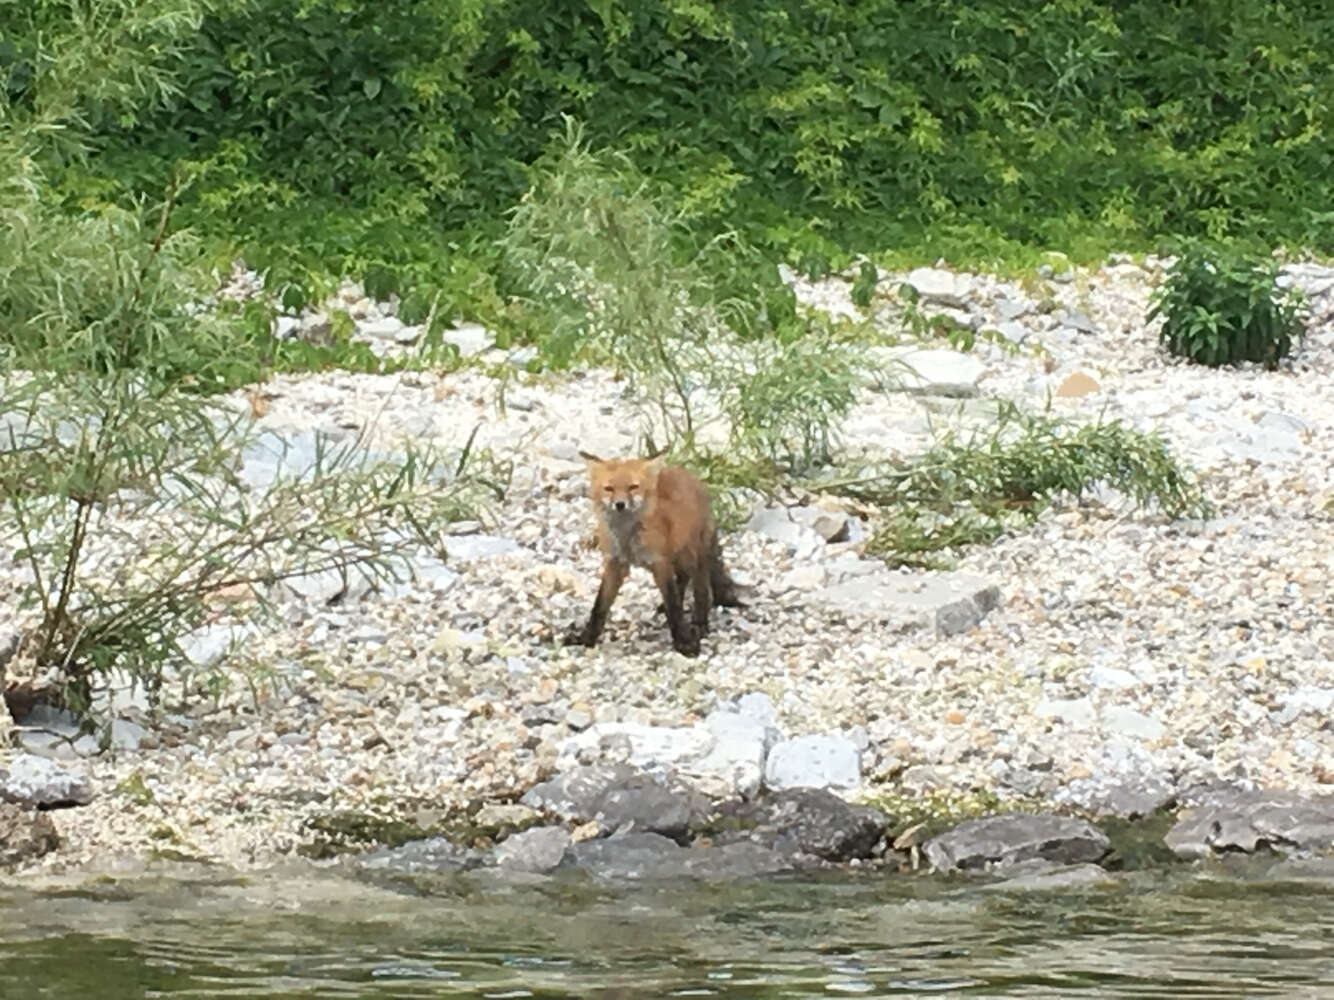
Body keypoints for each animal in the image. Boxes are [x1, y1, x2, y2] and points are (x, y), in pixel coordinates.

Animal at [560, 453, 741, 658]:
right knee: (683, 578)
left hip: (692, 556)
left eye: (633, 487)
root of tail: (692, 477)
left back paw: (699, 624)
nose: (620, 504)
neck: (628, 541)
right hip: (678, 556)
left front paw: (684, 642)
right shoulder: (615, 564)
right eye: (609, 489)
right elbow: (599, 607)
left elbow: (674, 606)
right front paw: (585, 638)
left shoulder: (659, 563)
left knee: (701, 589)